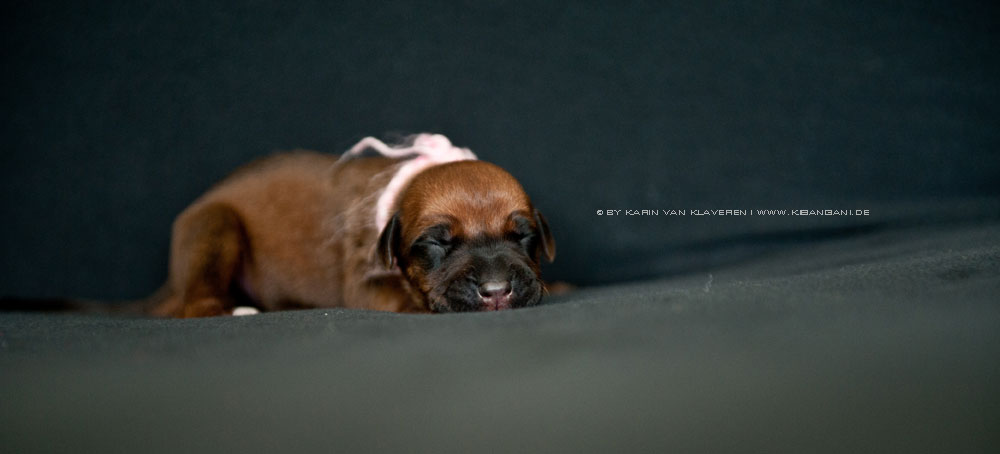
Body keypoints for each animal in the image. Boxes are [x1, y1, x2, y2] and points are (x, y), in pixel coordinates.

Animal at [150, 133, 555, 317]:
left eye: (523, 236)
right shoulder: (366, 280)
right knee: (195, 303)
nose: (497, 291)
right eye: (437, 244)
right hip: (214, 226)